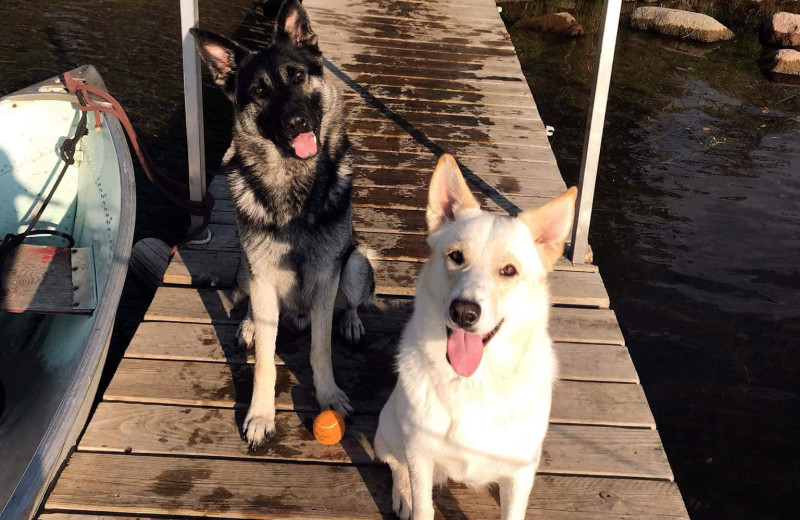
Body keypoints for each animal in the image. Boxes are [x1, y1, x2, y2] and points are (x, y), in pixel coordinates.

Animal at [376, 154, 576, 520]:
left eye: (508, 270)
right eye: (456, 256)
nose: (464, 313)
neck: (475, 382)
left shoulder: (521, 471)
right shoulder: (420, 456)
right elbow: (422, 505)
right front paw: (412, 498)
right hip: (391, 428)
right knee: (394, 463)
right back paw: (403, 494)